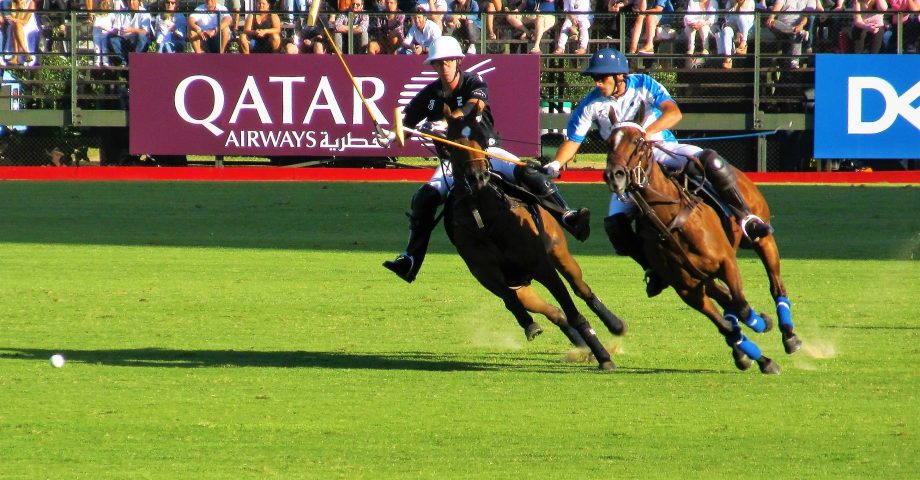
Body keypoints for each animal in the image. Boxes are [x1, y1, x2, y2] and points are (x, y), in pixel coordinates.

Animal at [440, 112, 624, 372]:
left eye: (481, 138)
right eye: (452, 143)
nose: (477, 177)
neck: (482, 216)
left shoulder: (541, 265)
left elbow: (574, 311)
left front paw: (604, 357)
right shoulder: (486, 274)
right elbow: (509, 300)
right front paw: (530, 325)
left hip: (559, 253)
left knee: (582, 290)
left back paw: (613, 325)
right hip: (523, 285)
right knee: (553, 311)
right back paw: (580, 346)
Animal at [604, 109, 796, 376]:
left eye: (637, 141)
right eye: (608, 143)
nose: (614, 175)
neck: (670, 220)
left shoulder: (726, 262)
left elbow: (743, 307)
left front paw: (761, 324)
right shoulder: (688, 290)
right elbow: (727, 324)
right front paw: (761, 358)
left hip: (762, 238)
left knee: (775, 284)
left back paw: (789, 335)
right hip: (704, 277)